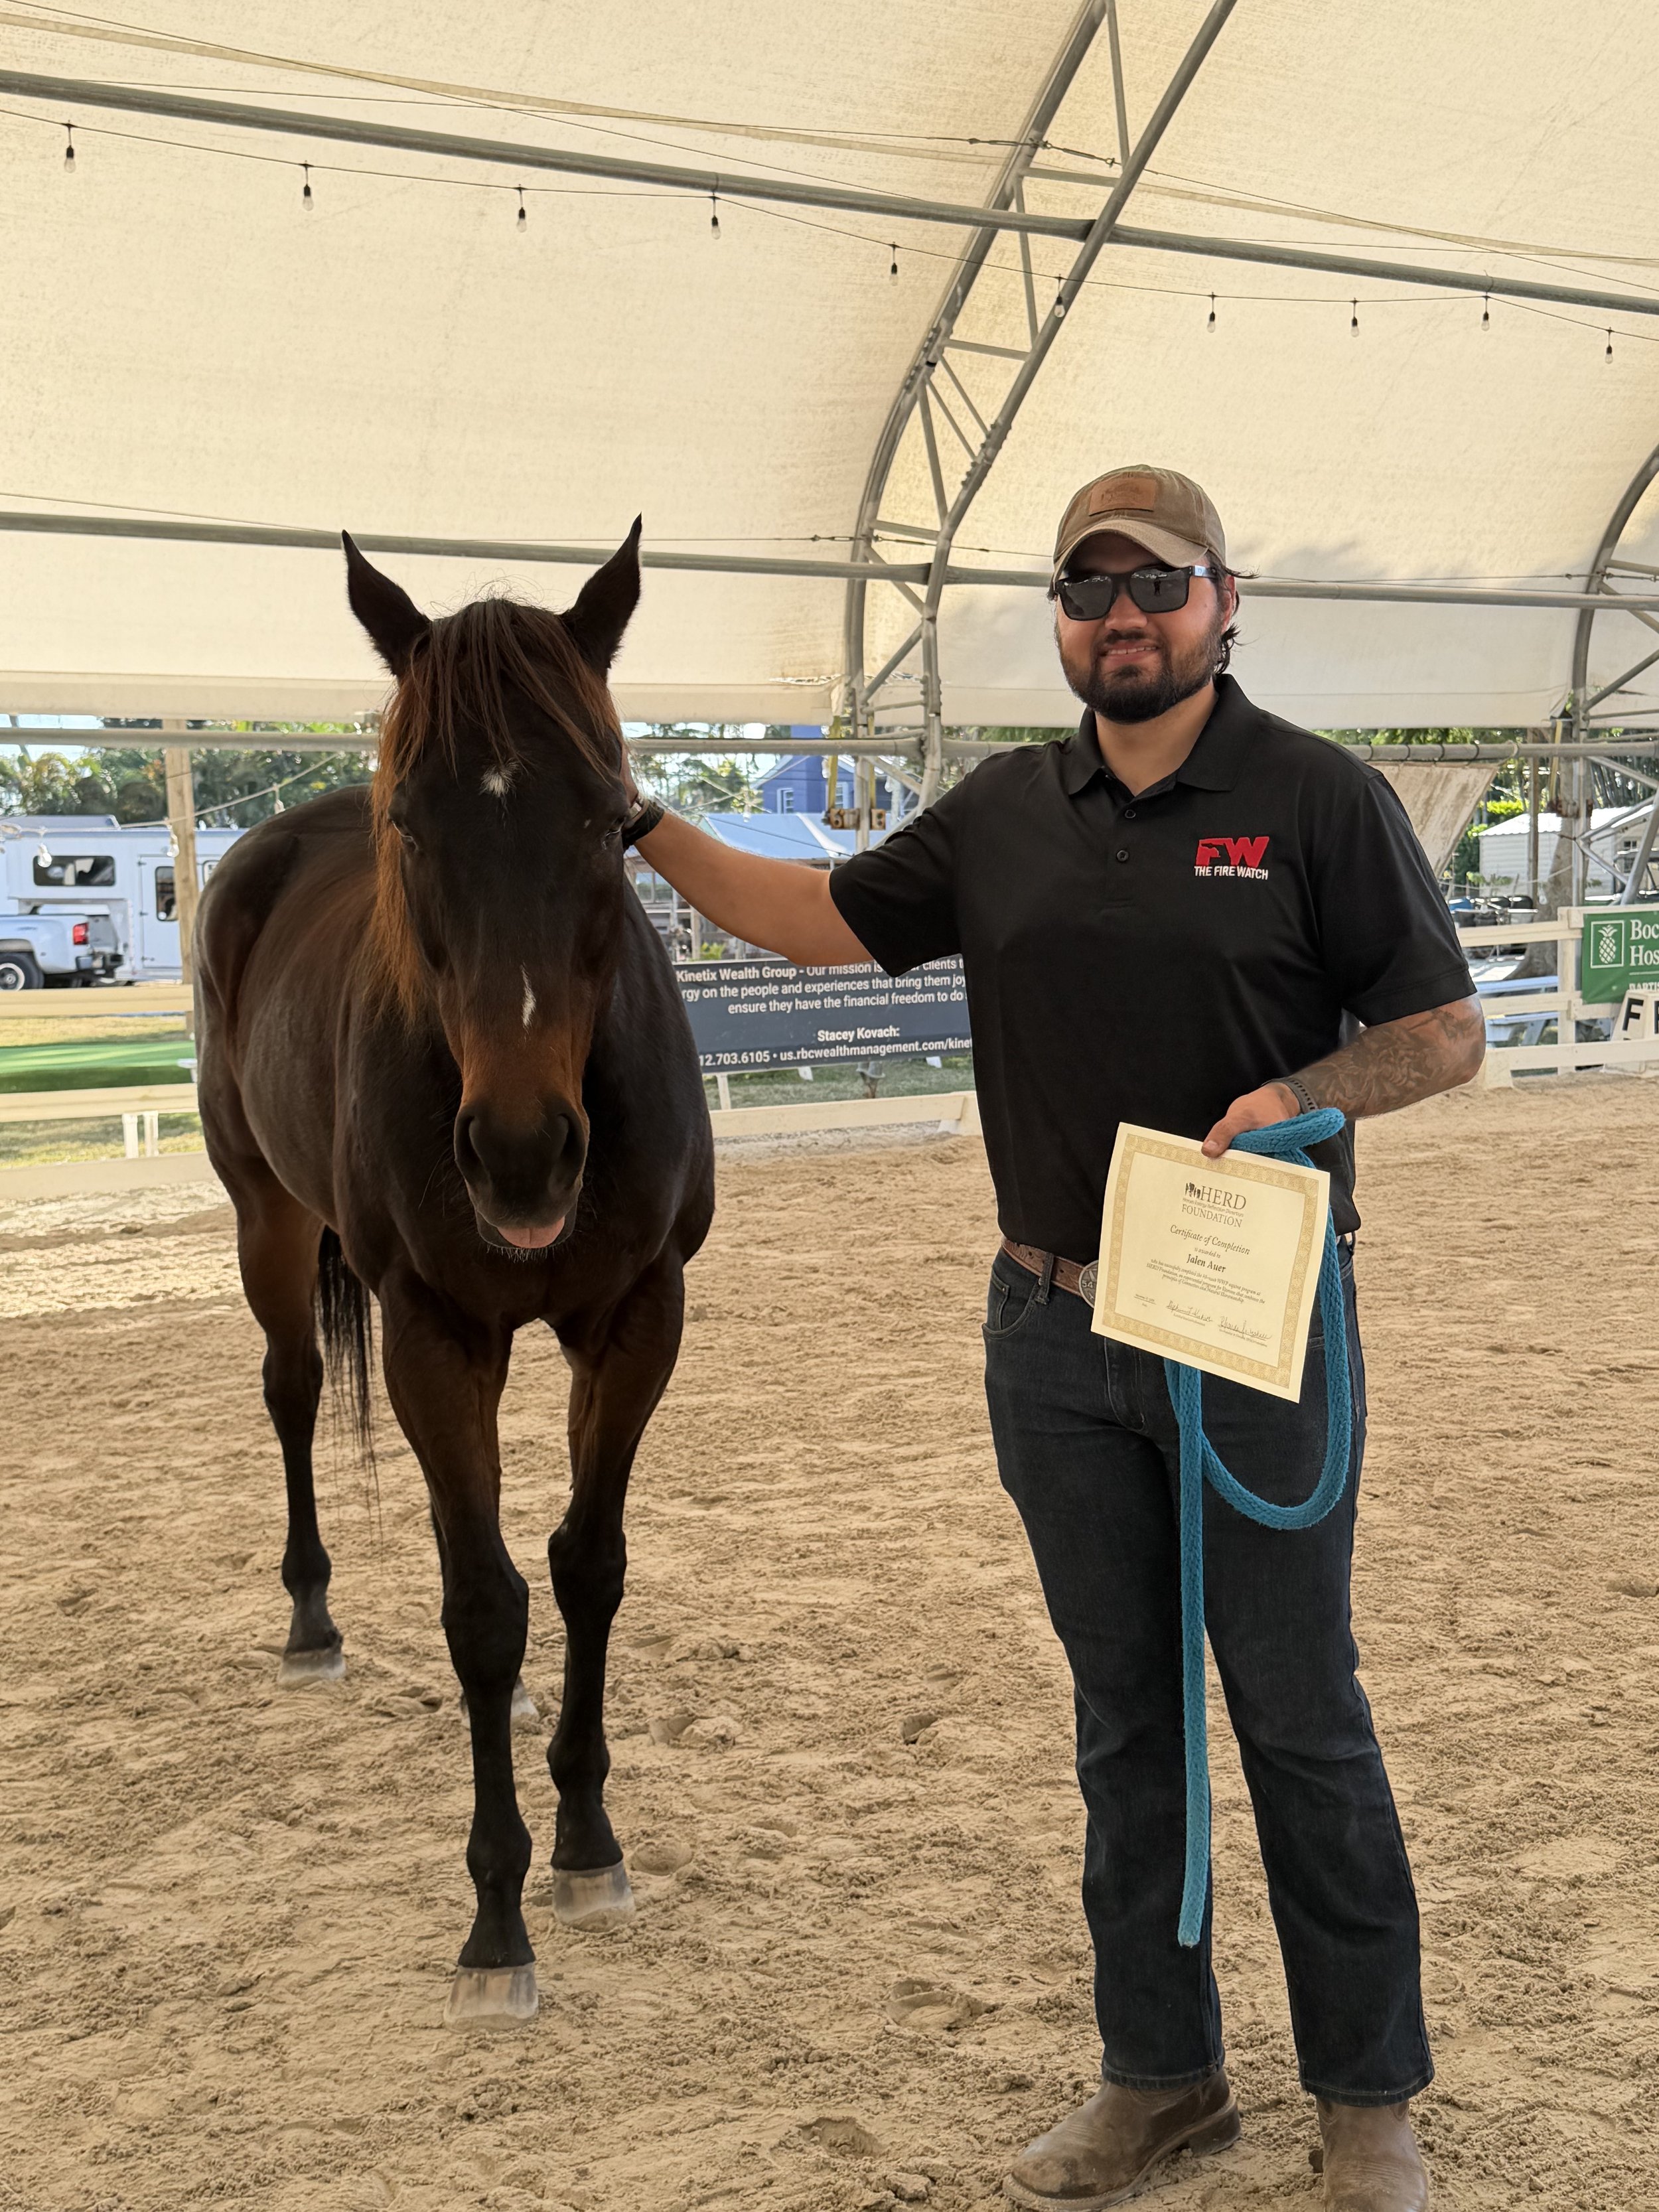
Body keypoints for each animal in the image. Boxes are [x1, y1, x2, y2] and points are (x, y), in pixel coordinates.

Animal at [194, 527, 713, 2026]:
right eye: (413, 825)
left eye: (610, 820)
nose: (525, 1155)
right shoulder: (432, 1334)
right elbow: (482, 1605)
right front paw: (497, 1916)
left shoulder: (636, 1319)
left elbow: (585, 1565)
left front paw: (589, 1841)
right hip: (267, 1220)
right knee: (295, 1394)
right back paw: (311, 1617)